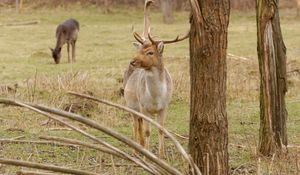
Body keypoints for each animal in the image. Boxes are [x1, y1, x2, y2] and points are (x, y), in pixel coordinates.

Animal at [122, 0, 188, 159]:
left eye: (150, 52)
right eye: (140, 50)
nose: (132, 61)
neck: (155, 98)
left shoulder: (164, 106)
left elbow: (161, 130)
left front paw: (162, 156)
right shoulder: (143, 106)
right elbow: (147, 131)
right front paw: (147, 156)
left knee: (139, 124)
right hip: (130, 105)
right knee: (135, 124)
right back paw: (136, 151)